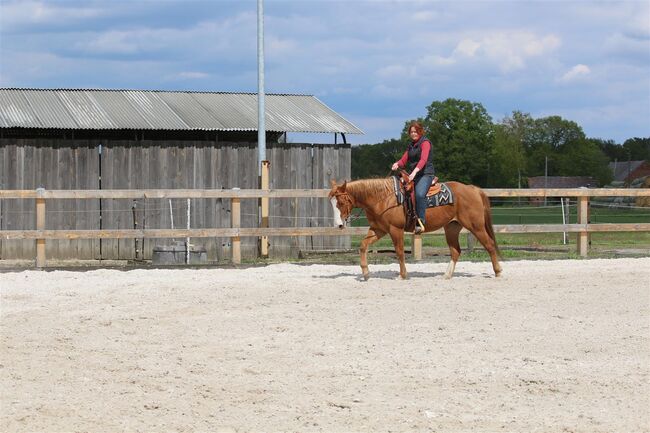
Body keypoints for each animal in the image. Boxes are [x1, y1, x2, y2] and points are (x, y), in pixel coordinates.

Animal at [330, 176, 502, 280]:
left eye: (341, 202)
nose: (339, 225)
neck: (383, 198)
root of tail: (473, 189)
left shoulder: (395, 229)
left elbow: (399, 252)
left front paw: (402, 275)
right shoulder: (379, 229)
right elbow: (363, 245)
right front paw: (365, 273)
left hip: (476, 226)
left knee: (490, 245)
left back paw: (498, 272)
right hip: (452, 228)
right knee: (456, 251)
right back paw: (446, 275)